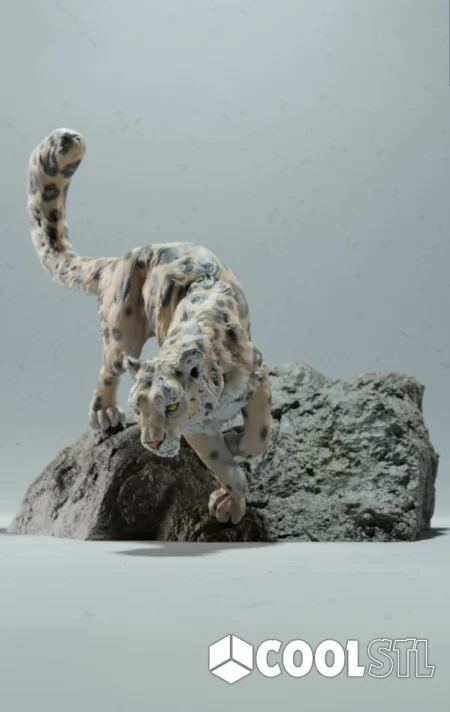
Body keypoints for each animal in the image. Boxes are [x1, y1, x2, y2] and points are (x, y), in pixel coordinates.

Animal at [26, 127, 272, 525]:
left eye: (170, 406)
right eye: (138, 407)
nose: (153, 441)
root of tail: (117, 260)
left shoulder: (258, 377)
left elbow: (258, 436)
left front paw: (237, 444)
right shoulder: (195, 426)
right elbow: (222, 464)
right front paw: (229, 500)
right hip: (120, 334)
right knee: (106, 370)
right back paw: (104, 413)